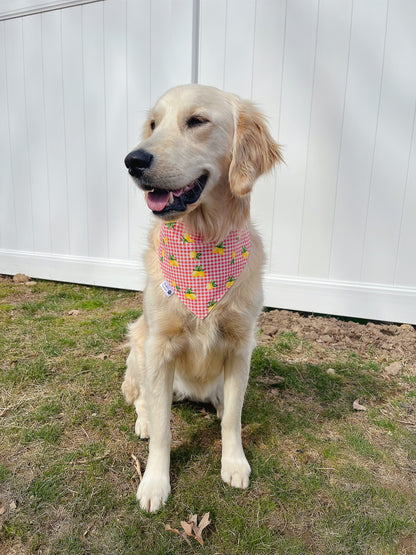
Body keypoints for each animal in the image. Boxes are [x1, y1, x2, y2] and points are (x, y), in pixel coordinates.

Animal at [122, 83, 282, 512]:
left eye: (196, 121)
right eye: (153, 124)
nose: (133, 160)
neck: (203, 243)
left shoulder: (241, 345)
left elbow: (233, 420)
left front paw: (234, 462)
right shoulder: (159, 346)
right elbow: (163, 429)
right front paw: (155, 483)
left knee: (225, 405)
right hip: (138, 345)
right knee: (142, 399)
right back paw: (143, 420)